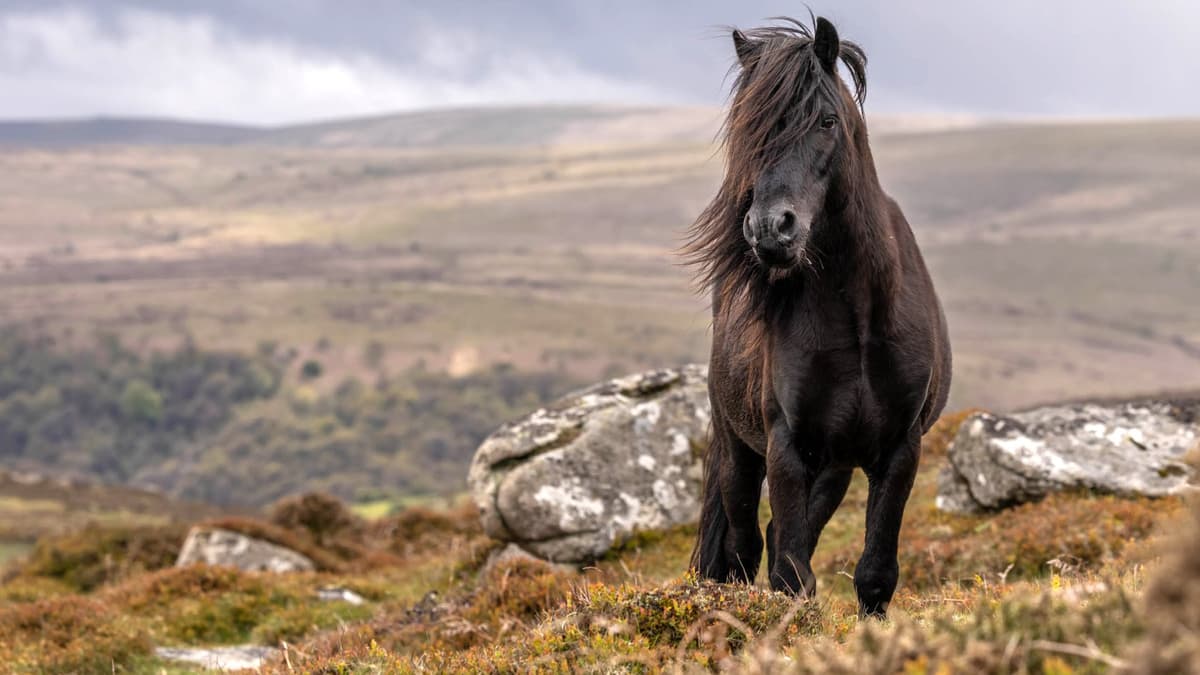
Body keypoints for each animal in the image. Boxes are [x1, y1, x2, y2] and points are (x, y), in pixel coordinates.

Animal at [684, 15, 951, 618]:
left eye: (827, 120)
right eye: (748, 127)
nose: (769, 229)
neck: (859, 319)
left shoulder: (899, 449)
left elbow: (874, 573)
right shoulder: (787, 446)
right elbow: (791, 575)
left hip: (835, 467)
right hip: (739, 449)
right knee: (743, 547)